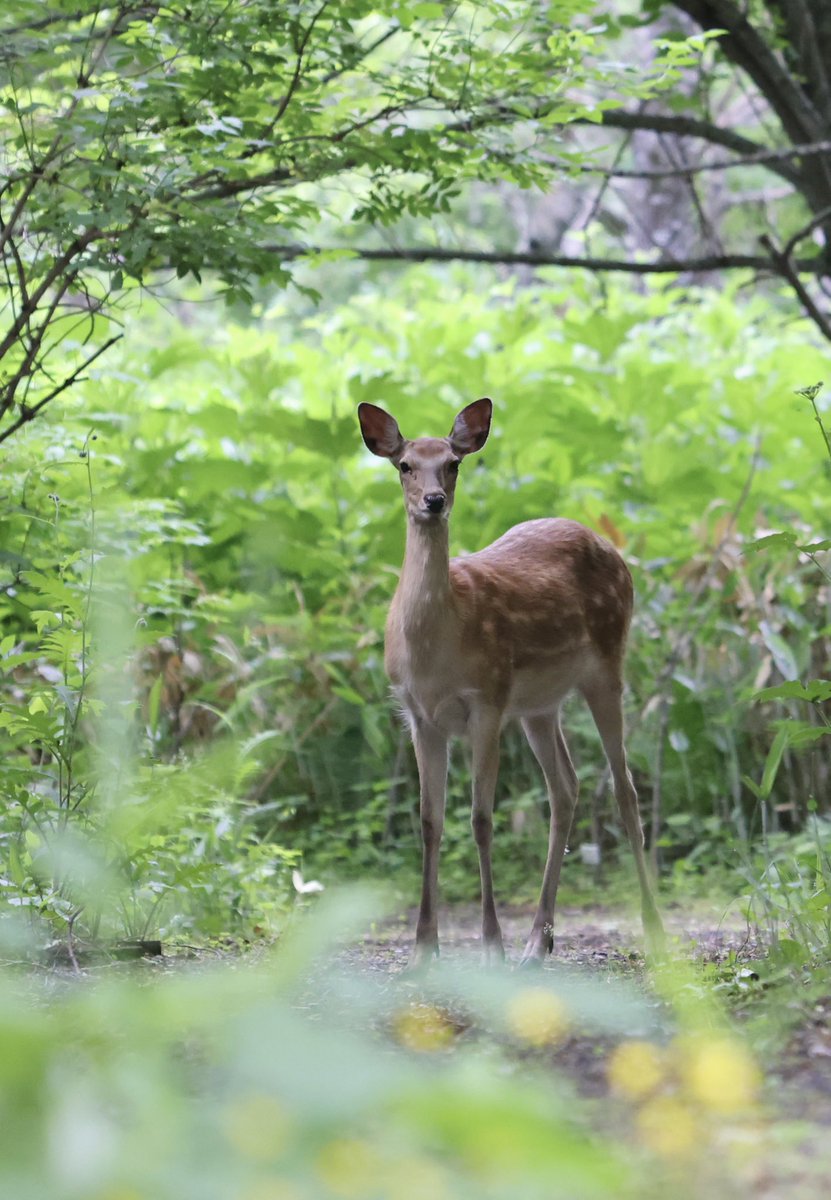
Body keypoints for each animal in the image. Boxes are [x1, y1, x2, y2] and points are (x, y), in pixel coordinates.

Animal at [357, 398, 662, 969]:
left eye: (453, 463)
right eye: (404, 464)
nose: (433, 501)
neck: (437, 649)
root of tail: (613, 548)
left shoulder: (488, 701)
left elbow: (480, 819)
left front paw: (491, 945)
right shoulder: (419, 715)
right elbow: (429, 821)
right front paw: (423, 949)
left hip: (607, 666)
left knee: (625, 788)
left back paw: (652, 928)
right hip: (540, 707)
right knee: (565, 787)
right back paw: (538, 940)